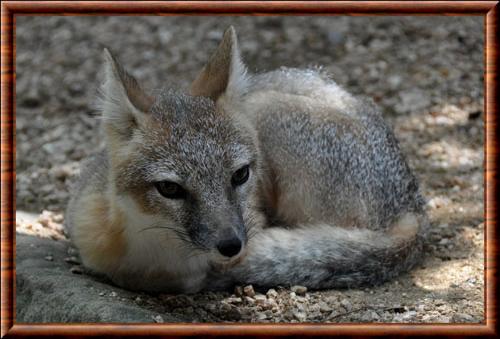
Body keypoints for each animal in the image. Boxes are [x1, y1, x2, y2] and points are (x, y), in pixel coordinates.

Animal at [64, 25, 428, 294]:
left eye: (240, 175)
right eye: (169, 188)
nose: (231, 245)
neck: (159, 260)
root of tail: (413, 202)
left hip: (266, 109)